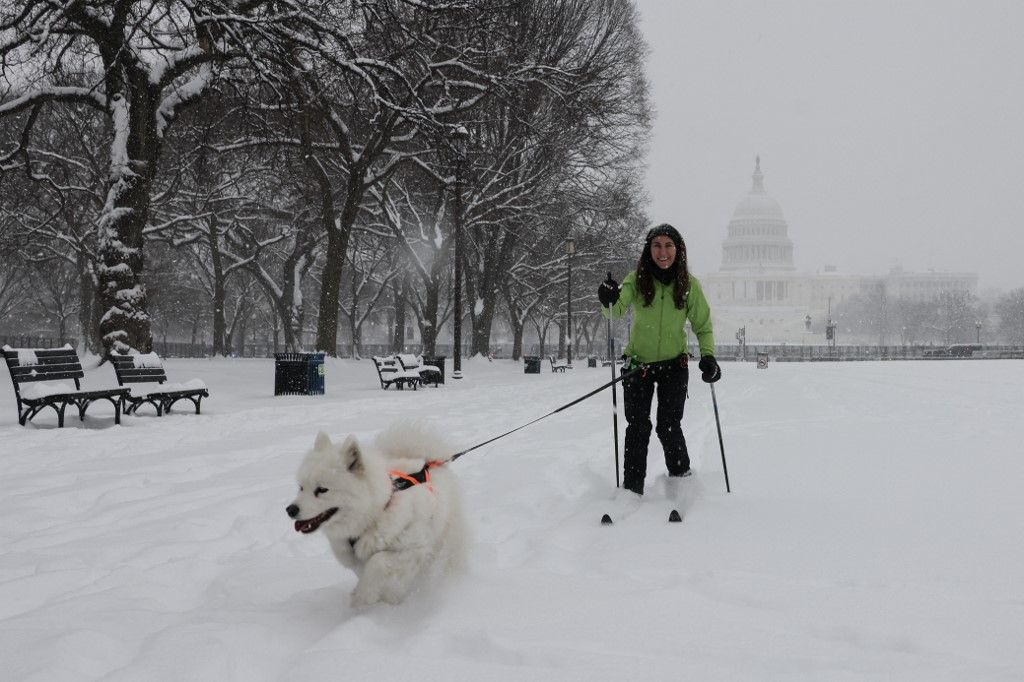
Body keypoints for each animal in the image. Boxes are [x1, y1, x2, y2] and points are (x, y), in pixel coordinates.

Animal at [284, 419, 468, 606]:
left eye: (322, 490)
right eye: (301, 488)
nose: (290, 510)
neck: (375, 515)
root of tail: (427, 462)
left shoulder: (417, 549)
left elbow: (377, 562)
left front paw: (364, 596)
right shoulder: (354, 559)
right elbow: (368, 572)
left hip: (449, 539)